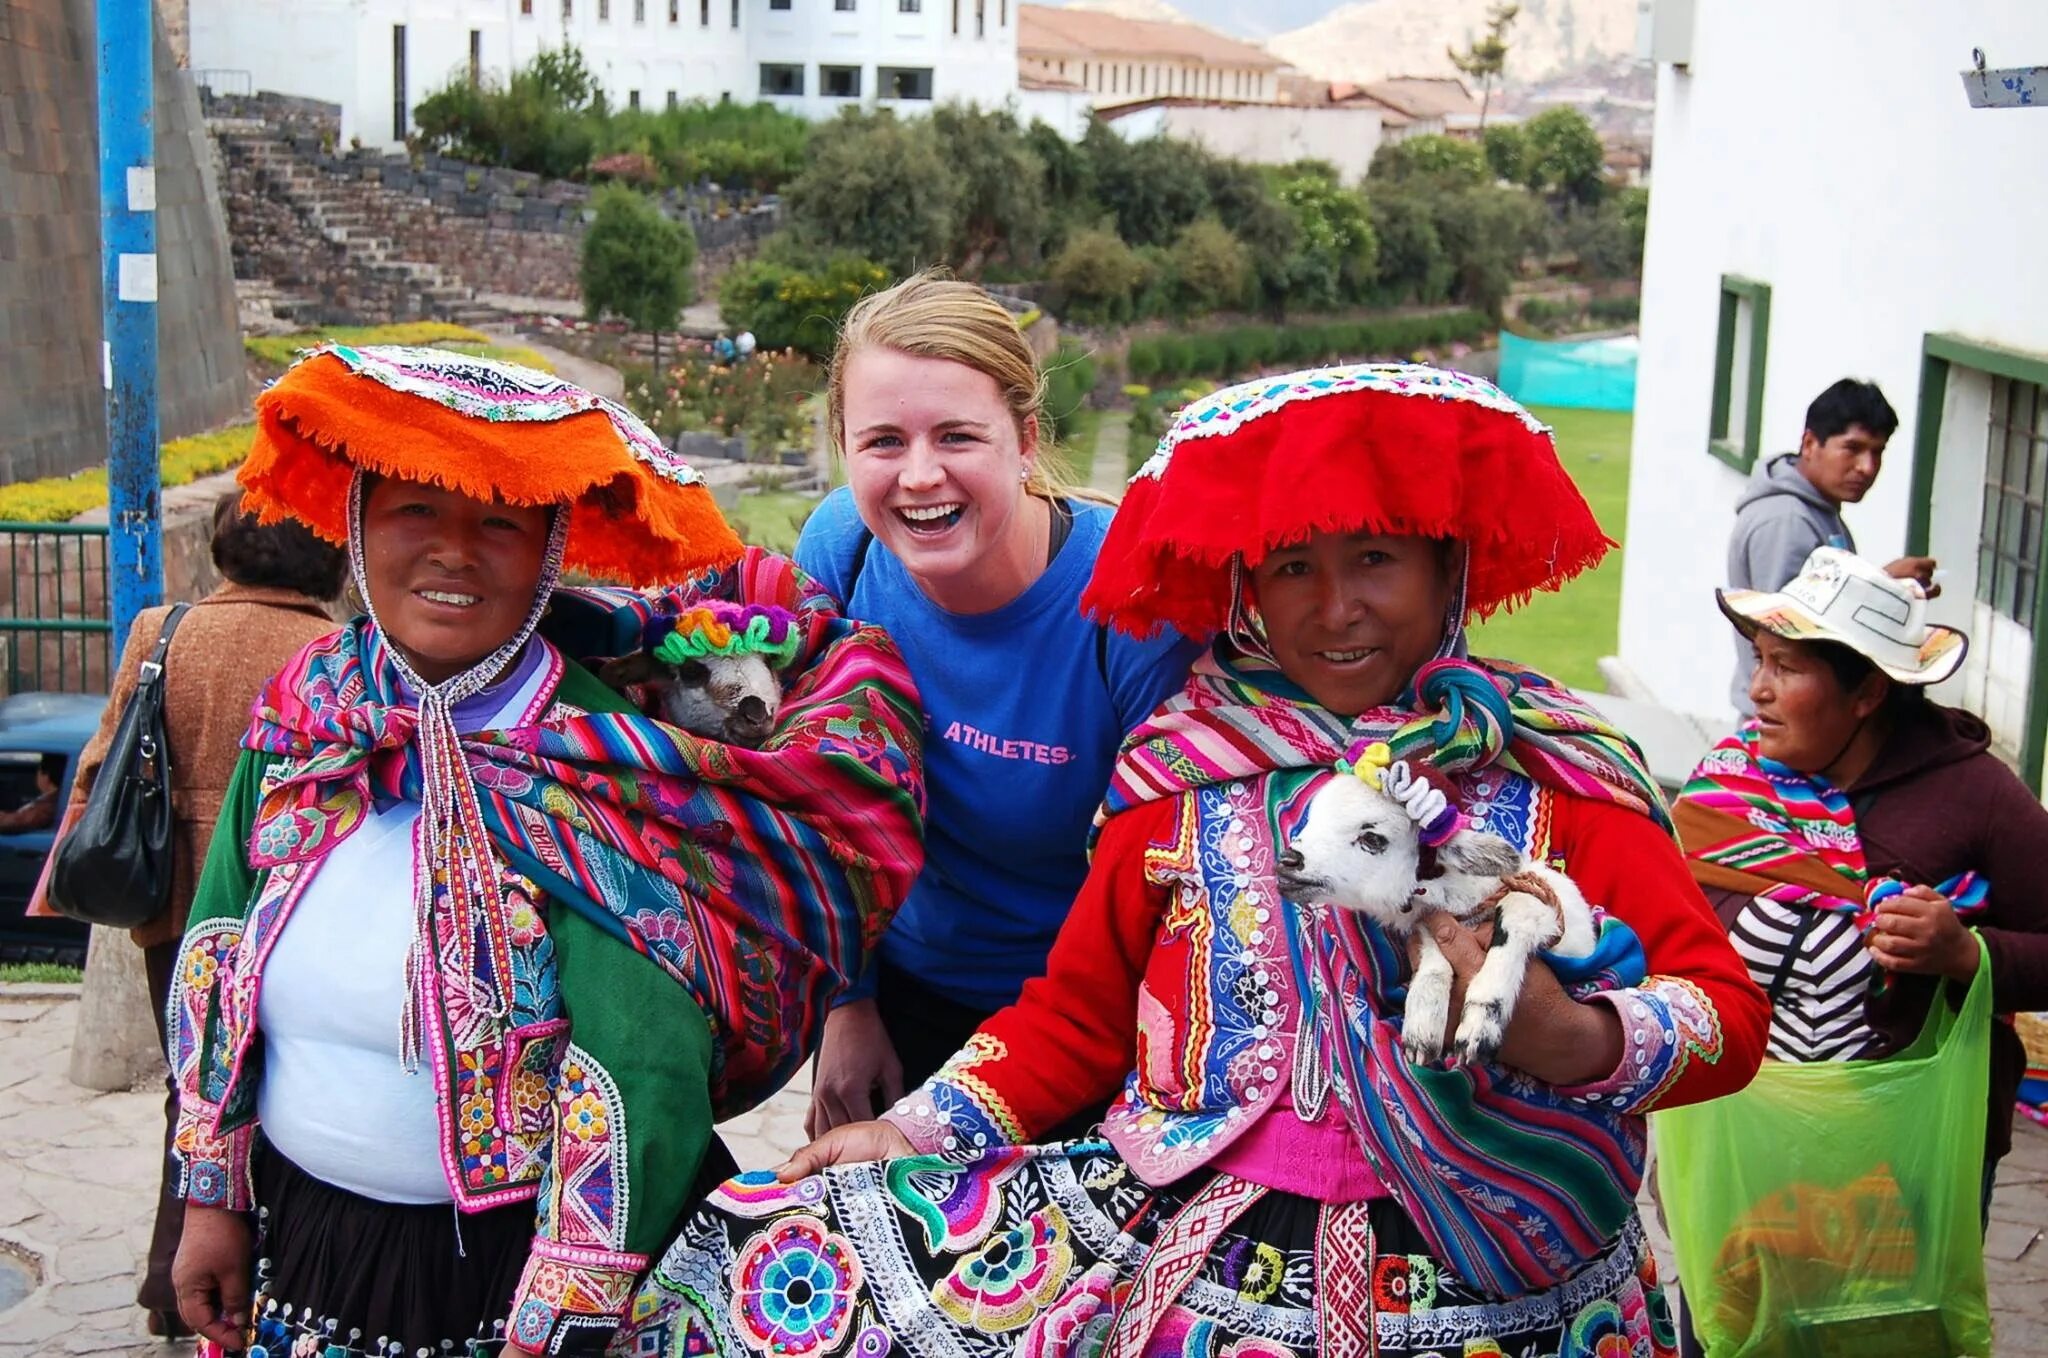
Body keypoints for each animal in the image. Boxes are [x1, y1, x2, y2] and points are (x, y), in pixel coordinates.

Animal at [1277, 749, 1597, 1065]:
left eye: (1372, 838)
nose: (1288, 861)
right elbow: (1432, 952)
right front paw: (1423, 1027)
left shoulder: (1567, 919)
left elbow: (1517, 908)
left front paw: (1479, 1023)